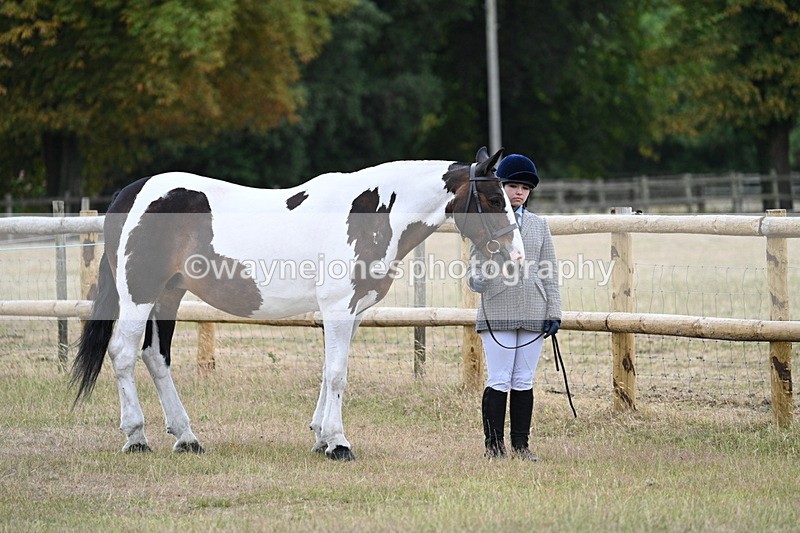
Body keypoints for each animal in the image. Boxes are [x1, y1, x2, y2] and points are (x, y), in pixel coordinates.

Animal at [71, 147, 524, 460]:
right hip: (139, 294)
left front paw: (321, 437)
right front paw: (339, 444)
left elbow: (329, 372)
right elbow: (338, 374)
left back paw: (187, 437)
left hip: (168, 294)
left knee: (156, 357)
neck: (372, 211)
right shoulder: (338, 309)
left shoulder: (352, 313)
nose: (516, 258)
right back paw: (136, 437)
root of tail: (133, 192)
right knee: (123, 353)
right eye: (492, 200)